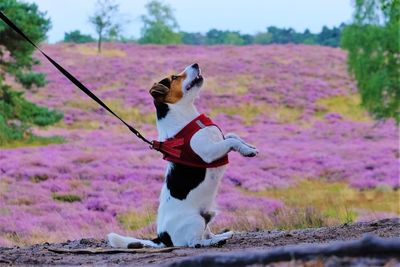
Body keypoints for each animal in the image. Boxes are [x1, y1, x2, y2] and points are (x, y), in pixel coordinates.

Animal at [107, 63, 256, 248]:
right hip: (195, 220)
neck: (186, 115)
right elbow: (230, 142)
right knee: (194, 242)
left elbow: (232, 136)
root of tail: (163, 237)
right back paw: (213, 242)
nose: (195, 64)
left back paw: (221, 236)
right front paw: (247, 151)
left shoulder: (220, 140)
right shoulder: (209, 152)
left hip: (205, 217)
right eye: (174, 77)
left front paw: (249, 146)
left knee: (206, 233)